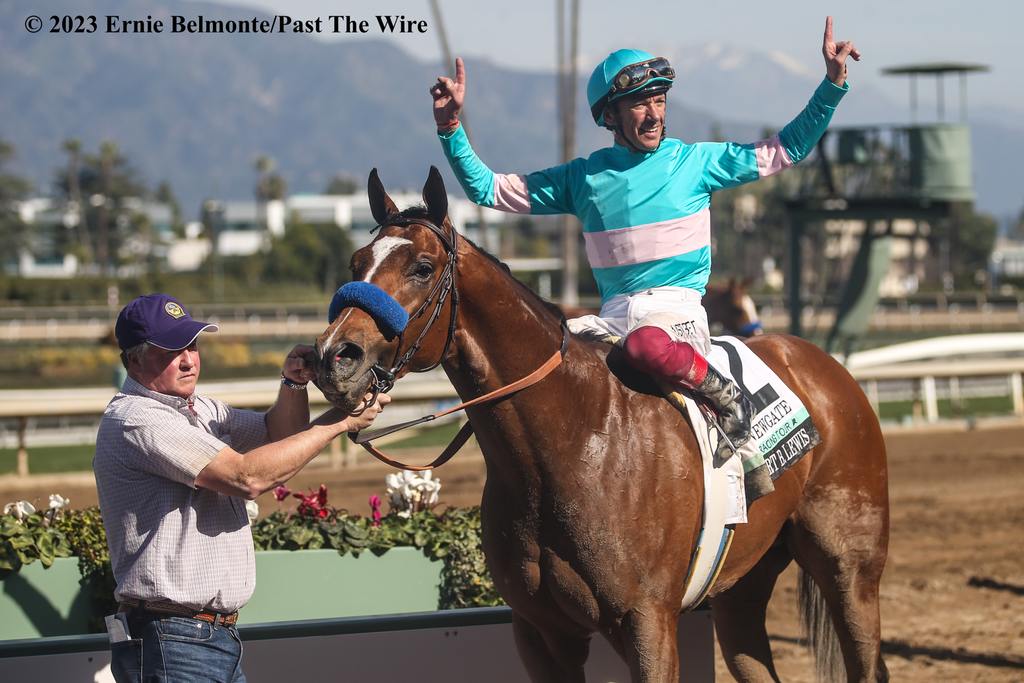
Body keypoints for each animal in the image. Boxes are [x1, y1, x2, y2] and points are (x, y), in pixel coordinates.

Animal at [313, 166, 888, 683]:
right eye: (357, 262)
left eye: (423, 267)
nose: (335, 356)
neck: (571, 440)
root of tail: (825, 364)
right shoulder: (540, 632)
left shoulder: (648, 623)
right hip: (742, 585)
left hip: (850, 567)